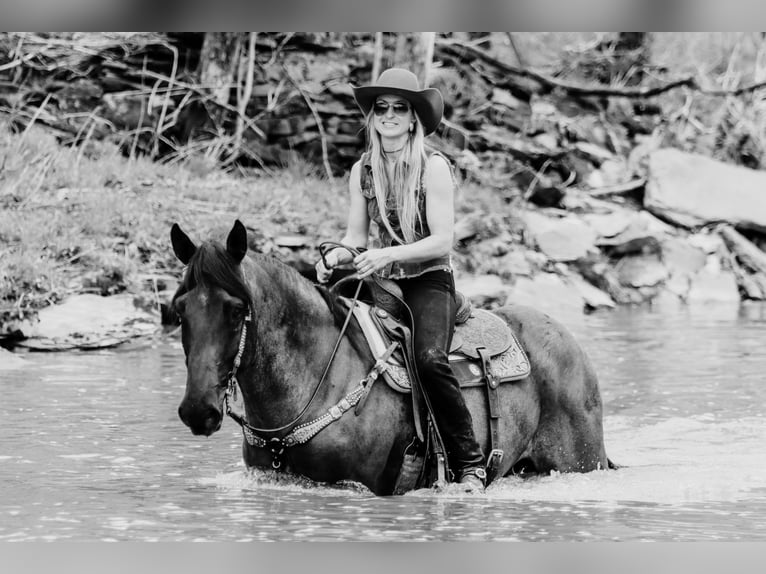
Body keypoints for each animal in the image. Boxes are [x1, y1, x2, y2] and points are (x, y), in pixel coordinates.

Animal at [171, 219, 616, 496]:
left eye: (235, 309)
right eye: (180, 310)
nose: (197, 411)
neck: (314, 379)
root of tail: (567, 339)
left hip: (579, 461)